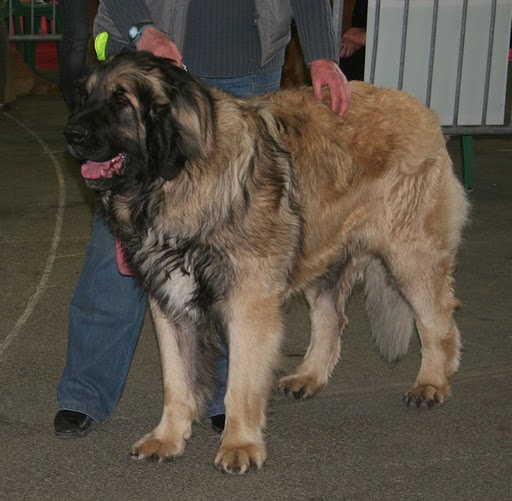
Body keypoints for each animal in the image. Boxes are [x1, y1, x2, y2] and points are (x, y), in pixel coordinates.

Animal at [63, 50, 468, 472]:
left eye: (121, 100)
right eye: (85, 96)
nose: (70, 135)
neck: (178, 179)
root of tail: (419, 107)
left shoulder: (248, 303)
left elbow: (240, 383)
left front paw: (239, 443)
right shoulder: (170, 301)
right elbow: (176, 381)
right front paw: (167, 438)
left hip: (410, 254)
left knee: (436, 319)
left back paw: (432, 383)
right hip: (322, 251)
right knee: (331, 318)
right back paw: (309, 377)